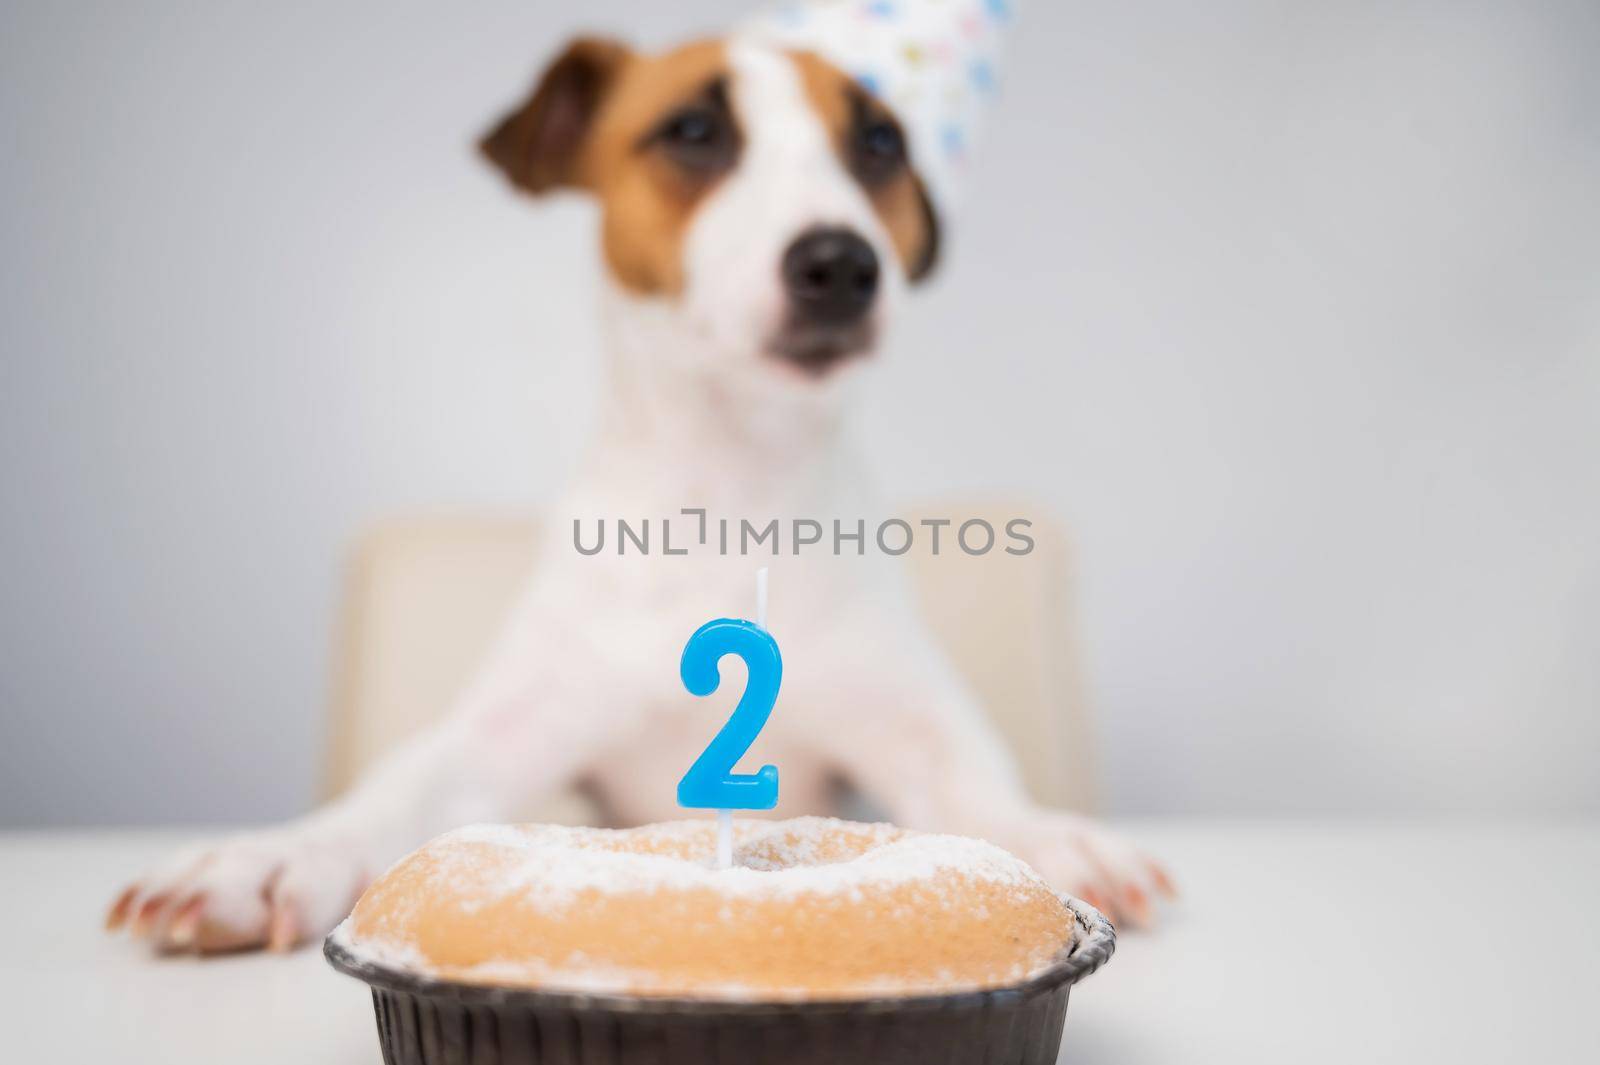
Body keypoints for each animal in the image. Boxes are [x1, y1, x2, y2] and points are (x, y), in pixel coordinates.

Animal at [103, 33, 1177, 946]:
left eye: (879, 143)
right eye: (694, 131)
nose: (841, 263)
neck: (730, 495)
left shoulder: (908, 728)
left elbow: (979, 789)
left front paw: (1051, 832)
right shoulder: (499, 737)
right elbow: (391, 792)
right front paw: (271, 855)